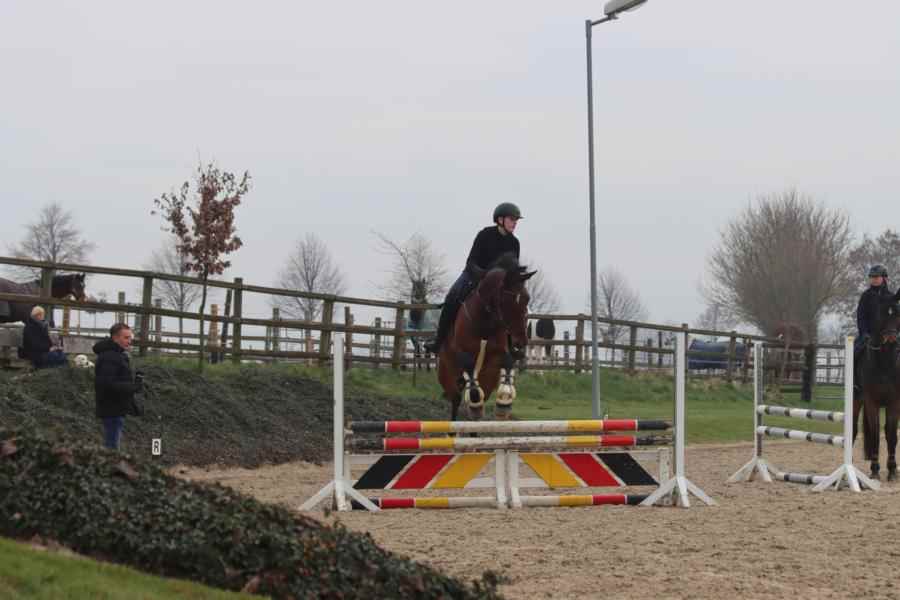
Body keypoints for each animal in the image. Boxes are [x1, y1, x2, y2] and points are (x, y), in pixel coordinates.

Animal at [437, 254, 536, 421]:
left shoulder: (499, 352)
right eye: (506, 301)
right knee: (456, 400)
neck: (486, 321)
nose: (521, 342)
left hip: (488, 380)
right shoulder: (464, 353)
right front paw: (475, 403)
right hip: (448, 377)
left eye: (527, 299)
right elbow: (469, 366)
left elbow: (507, 361)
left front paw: (504, 403)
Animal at [852, 297, 900, 480]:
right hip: (856, 401)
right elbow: (874, 435)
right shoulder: (871, 403)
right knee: (853, 430)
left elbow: (891, 434)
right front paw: (874, 470)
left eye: (898, 314)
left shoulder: (894, 403)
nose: (892, 338)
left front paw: (892, 470)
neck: (885, 363)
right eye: (882, 315)